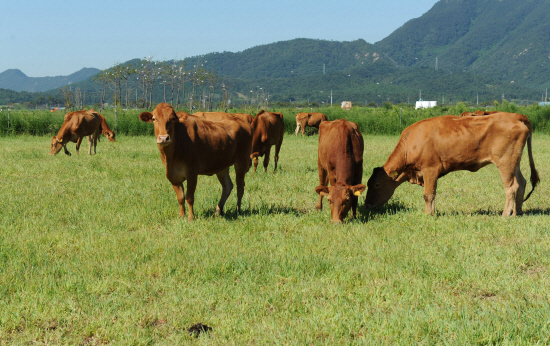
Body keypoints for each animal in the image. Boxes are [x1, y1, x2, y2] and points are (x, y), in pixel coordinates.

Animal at [364, 113, 540, 216]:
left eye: (377, 185)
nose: (366, 205)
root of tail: (515, 116)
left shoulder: (430, 169)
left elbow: (428, 194)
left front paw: (427, 215)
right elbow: (432, 194)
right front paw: (432, 212)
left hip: (505, 162)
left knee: (512, 187)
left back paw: (505, 215)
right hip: (514, 162)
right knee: (522, 182)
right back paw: (517, 212)